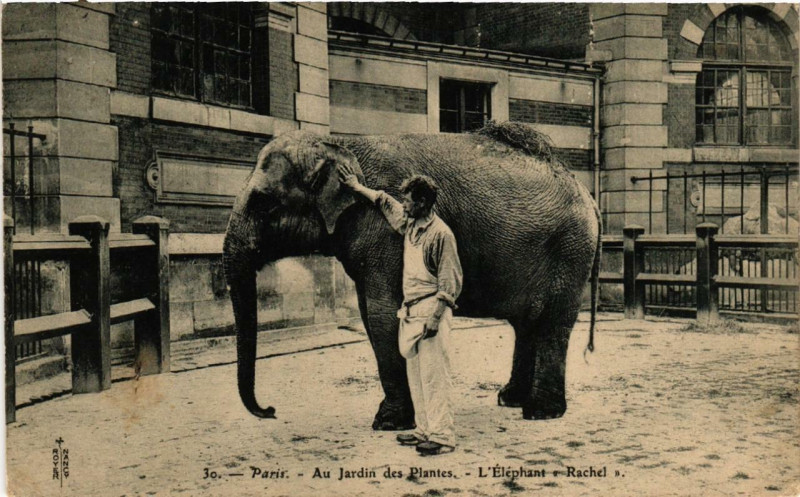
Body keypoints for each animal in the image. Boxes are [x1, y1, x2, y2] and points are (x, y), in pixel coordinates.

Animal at [223, 121, 601, 428]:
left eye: (263, 204)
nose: (271, 410)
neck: (338, 143)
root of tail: (587, 194)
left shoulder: (383, 233)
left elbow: (381, 315)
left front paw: (387, 423)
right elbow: (369, 315)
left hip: (569, 251)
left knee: (552, 323)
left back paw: (540, 412)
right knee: (527, 323)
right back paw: (510, 399)